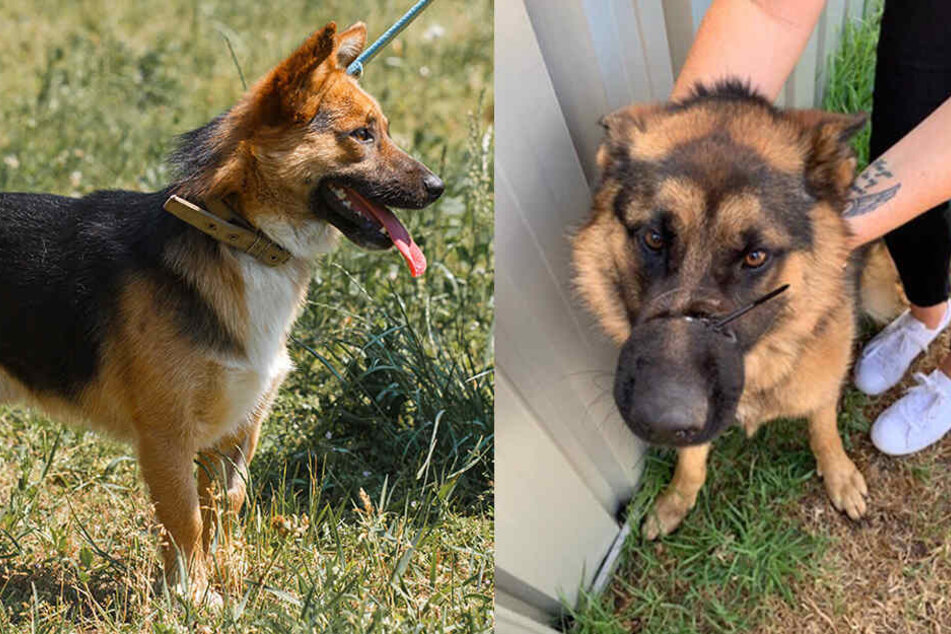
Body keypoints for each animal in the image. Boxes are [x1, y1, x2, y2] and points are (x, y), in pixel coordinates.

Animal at [0, 21, 442, 596]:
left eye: (384, 130)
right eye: (362, 135)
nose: (437, 187)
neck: (241, 235)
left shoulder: (235, 430)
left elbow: (226, 508)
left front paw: (227, 580)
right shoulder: (166, 434)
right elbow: (185, 517)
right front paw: (191, 596)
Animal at [572, 80, 900, 540]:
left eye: (755, 256)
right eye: (654, 238)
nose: (662, 421)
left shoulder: (821, 388)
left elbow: (824, 430)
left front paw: (839, 475)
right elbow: (692, 461)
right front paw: (677, 498)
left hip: (882, 294)